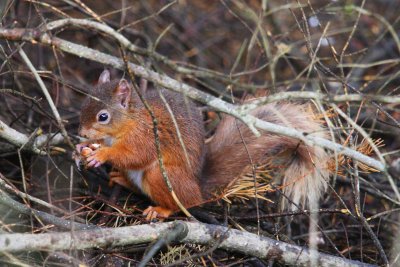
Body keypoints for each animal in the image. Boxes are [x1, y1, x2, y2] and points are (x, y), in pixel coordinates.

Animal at [76, 70, 330, 221]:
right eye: (84, 103)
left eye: (103, 117)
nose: (80, 133)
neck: (132, 119)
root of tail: (199, 187)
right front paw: (82, 149)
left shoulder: (147, 136)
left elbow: (135, 154)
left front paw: (102, 154)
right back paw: (121, 178)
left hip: (162, 176)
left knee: (183, 204)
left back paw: (160, 209)